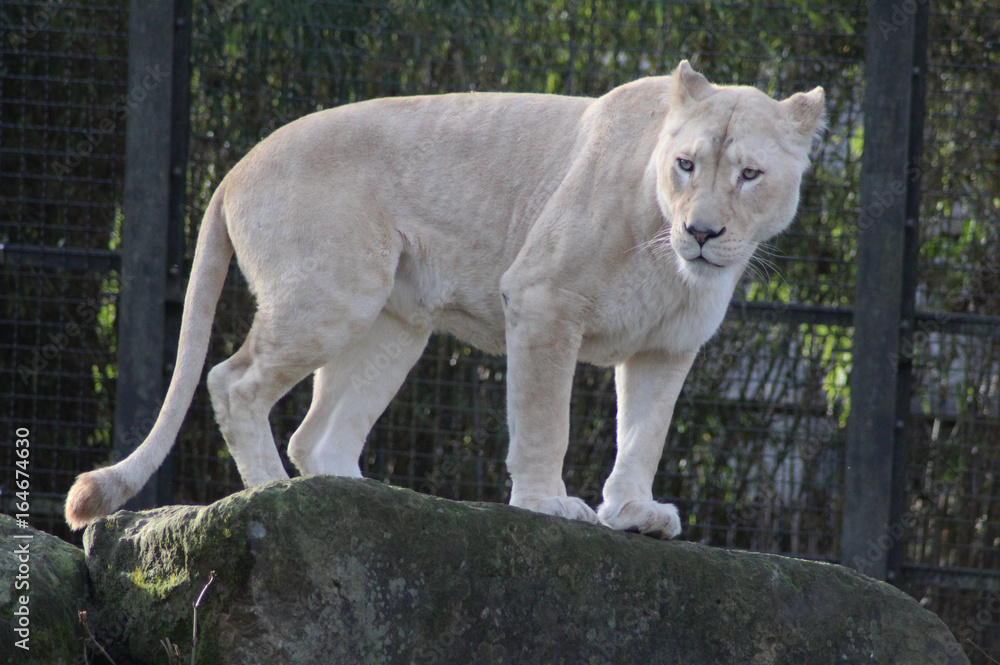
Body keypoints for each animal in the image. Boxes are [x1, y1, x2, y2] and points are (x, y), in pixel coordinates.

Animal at [65, 61, 825, 537]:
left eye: (749, 174)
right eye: (686, 164)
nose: (702, 232)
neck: (667, 255)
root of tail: (235, 167)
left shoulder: (668, 349)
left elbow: (644, 435)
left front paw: (635, 511)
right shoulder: (542, 301)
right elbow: (545, 420)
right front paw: (549, 504)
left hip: (395, 325)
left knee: (318, 434)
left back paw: (360, 495)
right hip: (333, 295)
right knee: (234, 380)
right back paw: (270, 491)